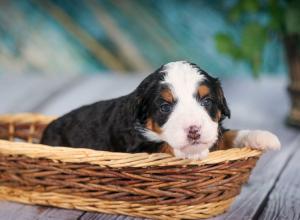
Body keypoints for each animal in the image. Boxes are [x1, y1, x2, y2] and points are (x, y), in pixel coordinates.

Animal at [41, 61, 280, 159]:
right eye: (165, 107)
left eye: (206, 101)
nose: (194, 130)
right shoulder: (134, 147)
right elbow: (162, 145)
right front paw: (192, 151)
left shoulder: (216, 132)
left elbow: (229, 134)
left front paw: (263, 137)